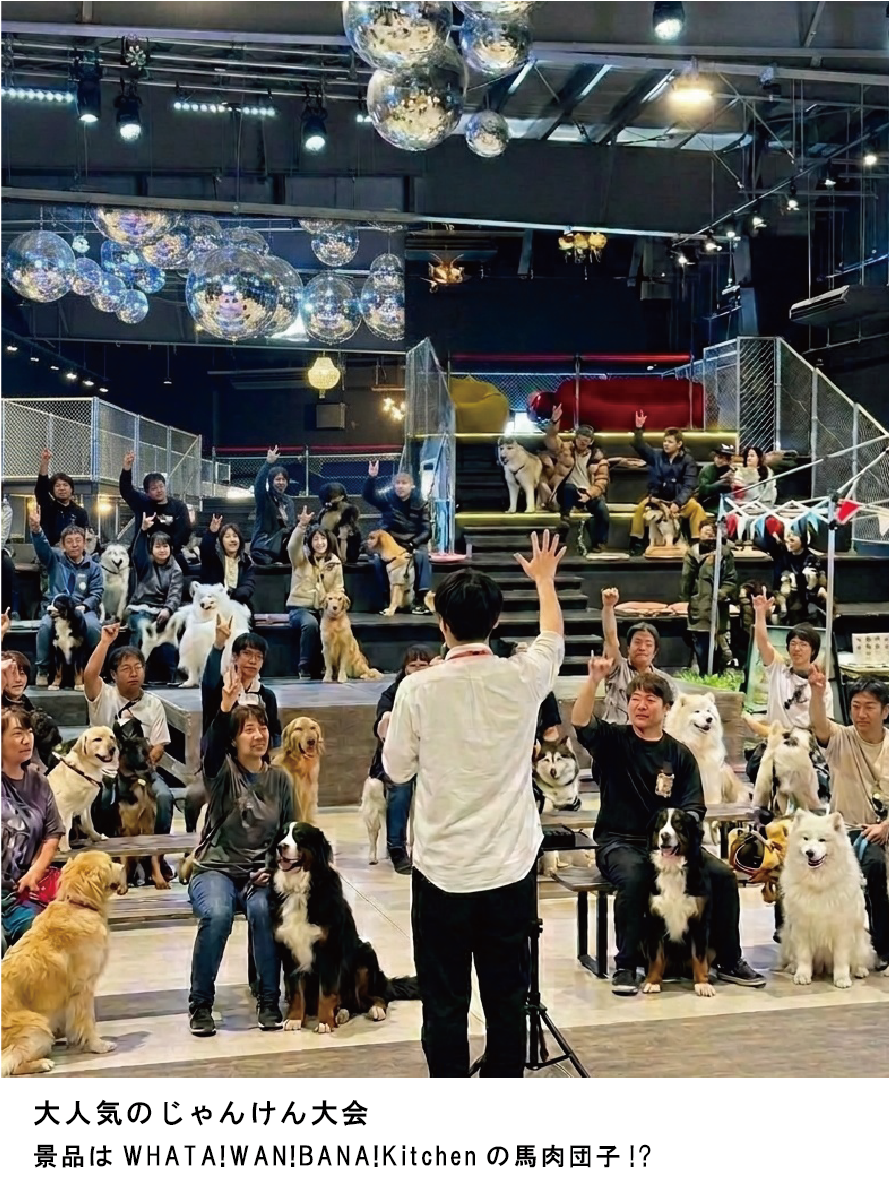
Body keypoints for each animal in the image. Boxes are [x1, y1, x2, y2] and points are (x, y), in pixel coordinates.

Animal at [1, 851, 125, 1076]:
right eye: (110, 864)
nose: (123, 868)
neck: (79, 905)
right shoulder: (83, 988)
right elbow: (87, 1021)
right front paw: (98, 1045)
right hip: (37, 1028)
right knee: (9, 1062)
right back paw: (42, 1063)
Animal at [270, 822, 420, 1033]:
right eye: (282, 835)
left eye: (299, 837)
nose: (280, 846)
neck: (299, 890)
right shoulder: (289, 950)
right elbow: (297, 991)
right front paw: (294, 1019)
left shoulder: (329, 950)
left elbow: (327, 991)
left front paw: (325, 1022)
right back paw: (341, 1013)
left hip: (364, 958)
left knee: (375, 997)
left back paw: (373, 1010)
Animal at [532, 737, 593, 876]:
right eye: (546, 760)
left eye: (559, 758)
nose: (553, 771)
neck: (557, 791)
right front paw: (549, 870)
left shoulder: (574, 807)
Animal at [642, 808, 716, 997]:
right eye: (661, 824)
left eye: (678, 824)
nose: (665, 835)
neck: (673, 869)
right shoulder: (654, 920)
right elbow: (656, 957)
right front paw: (653, 982)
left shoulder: (699, 922)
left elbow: (699, 957)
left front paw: (703, 984)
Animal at [780, 810, 874, 988]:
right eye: (805, 838)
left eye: (822, 840)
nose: (810, 852)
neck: (819, 884)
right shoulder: (801, 927)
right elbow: (803, 956)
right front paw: (802, 976)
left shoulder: (842, 928)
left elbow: (841, 959)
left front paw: (842, 979)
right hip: (788, 937)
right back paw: (792, 968)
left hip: (861, 938)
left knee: (860, 957)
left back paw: (860, 970)